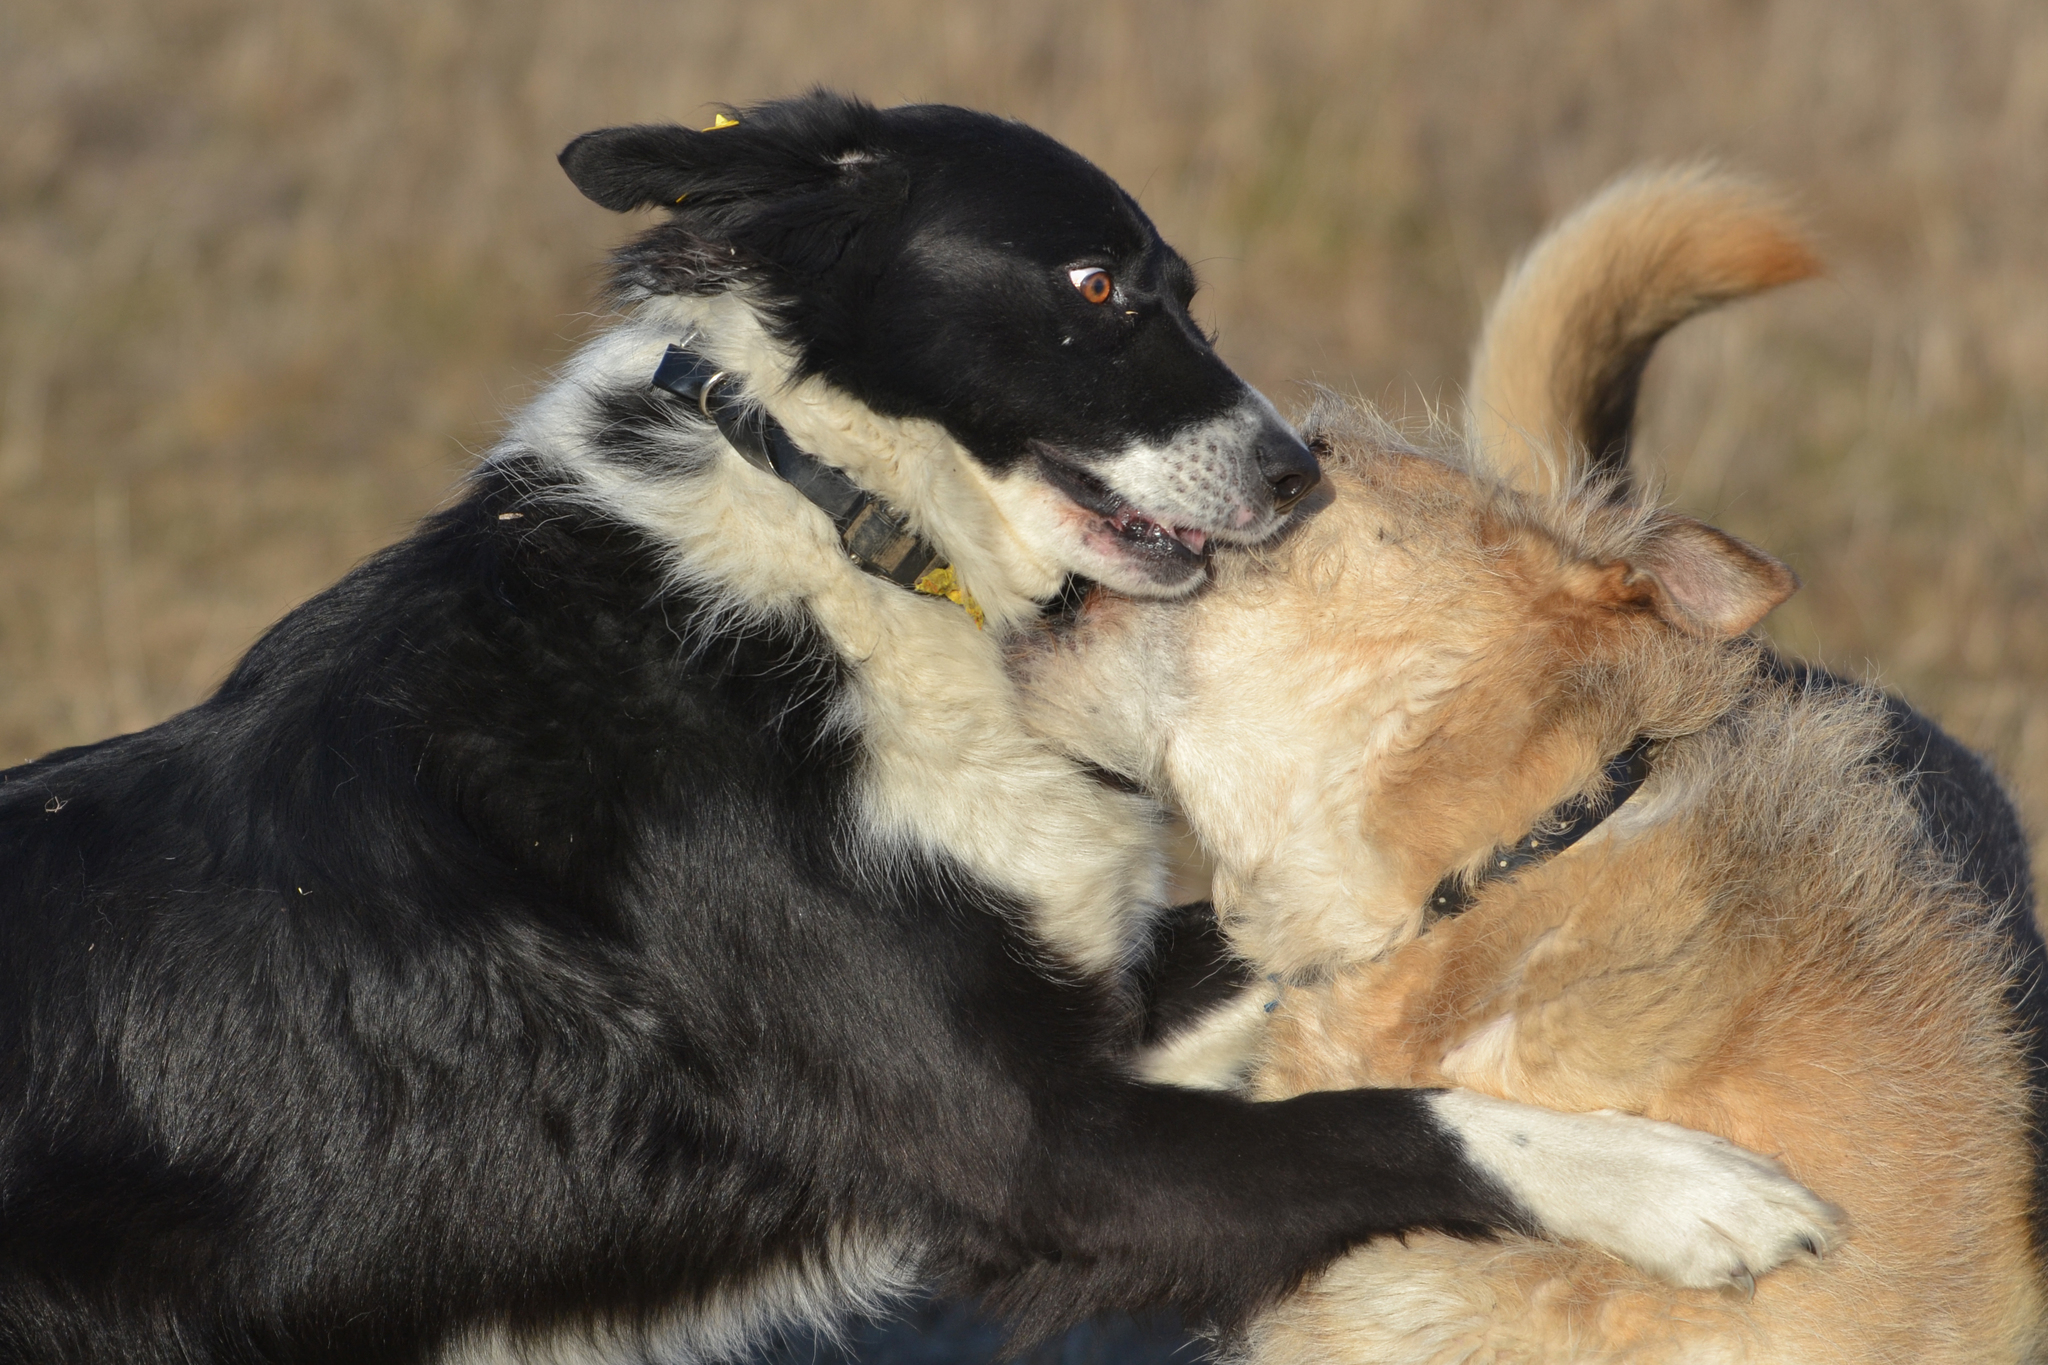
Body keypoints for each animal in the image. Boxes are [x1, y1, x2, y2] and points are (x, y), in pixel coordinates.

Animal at [0, 90, 1826, 1358]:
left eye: (1182, 285)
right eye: (1094, 282)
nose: (1296, 479)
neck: (845, 532)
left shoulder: (1081, 1020)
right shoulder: (1040, 1159)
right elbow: (1394, 1114)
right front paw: (1684, 1191)